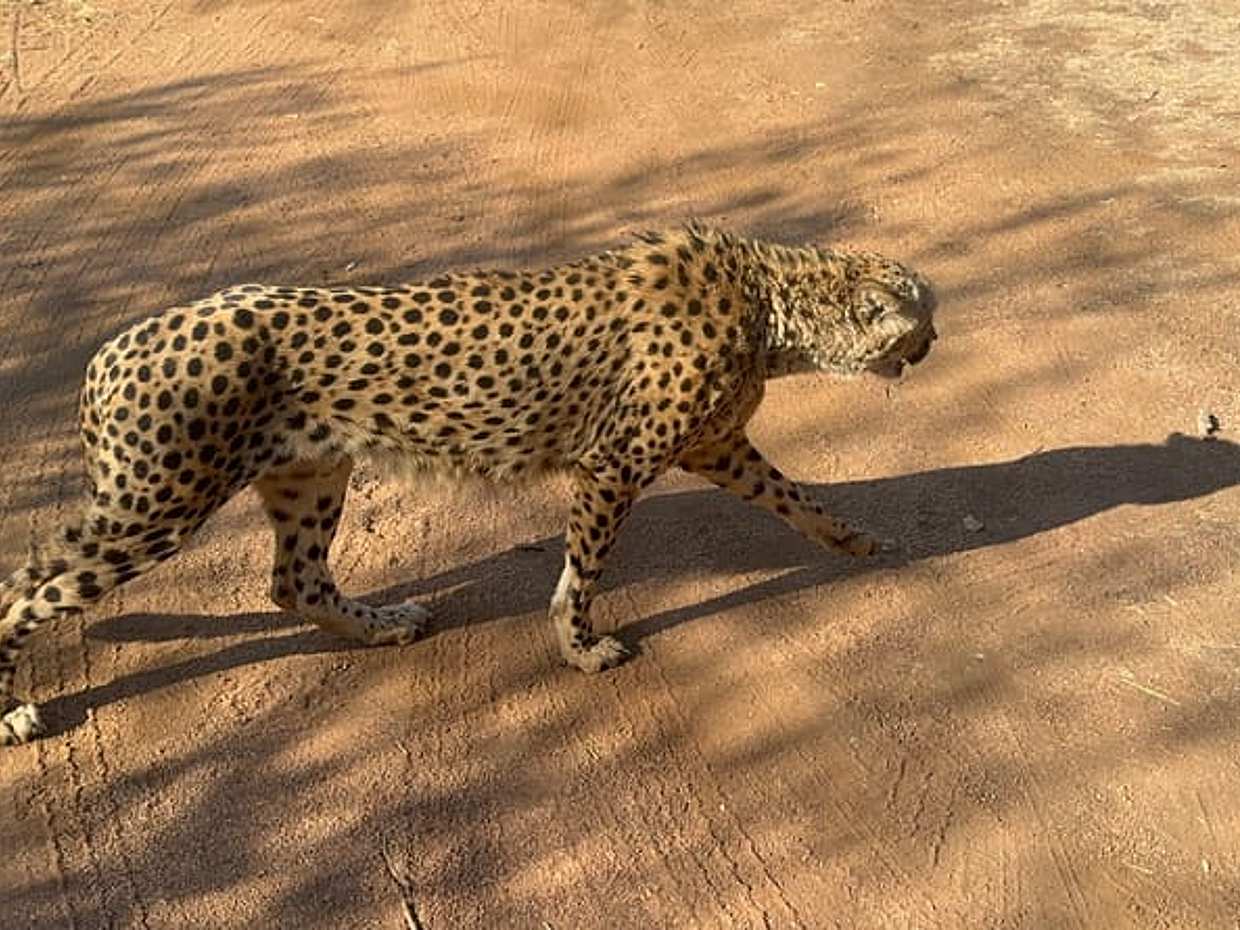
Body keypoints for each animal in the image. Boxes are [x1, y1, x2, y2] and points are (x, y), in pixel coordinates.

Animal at [0, 222, 937, 745]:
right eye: (919, 317)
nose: (932, 346)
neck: (770, 302)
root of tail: (115, 345)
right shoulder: (612, 463)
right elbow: (581, 575)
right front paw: (579, 648)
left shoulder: (718, 447)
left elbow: (794, 496)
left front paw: (855, 539)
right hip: (155, 506)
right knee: (25, 595)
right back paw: (12, 713)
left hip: (312, 470)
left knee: (293, 579)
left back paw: (383, 625)